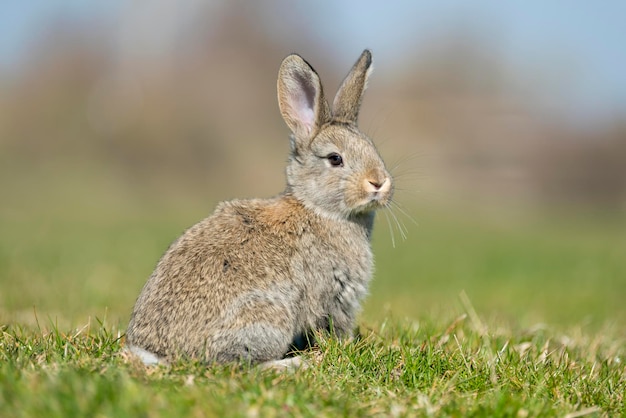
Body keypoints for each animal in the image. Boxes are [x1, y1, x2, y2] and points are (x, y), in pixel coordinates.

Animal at [124, 50, 392, 368]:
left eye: (372, 148)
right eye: (335, 159)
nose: (379, 183)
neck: (318, 208)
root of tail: (158, 353)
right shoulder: (333, 295)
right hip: (266, 318)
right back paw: (292, 364)